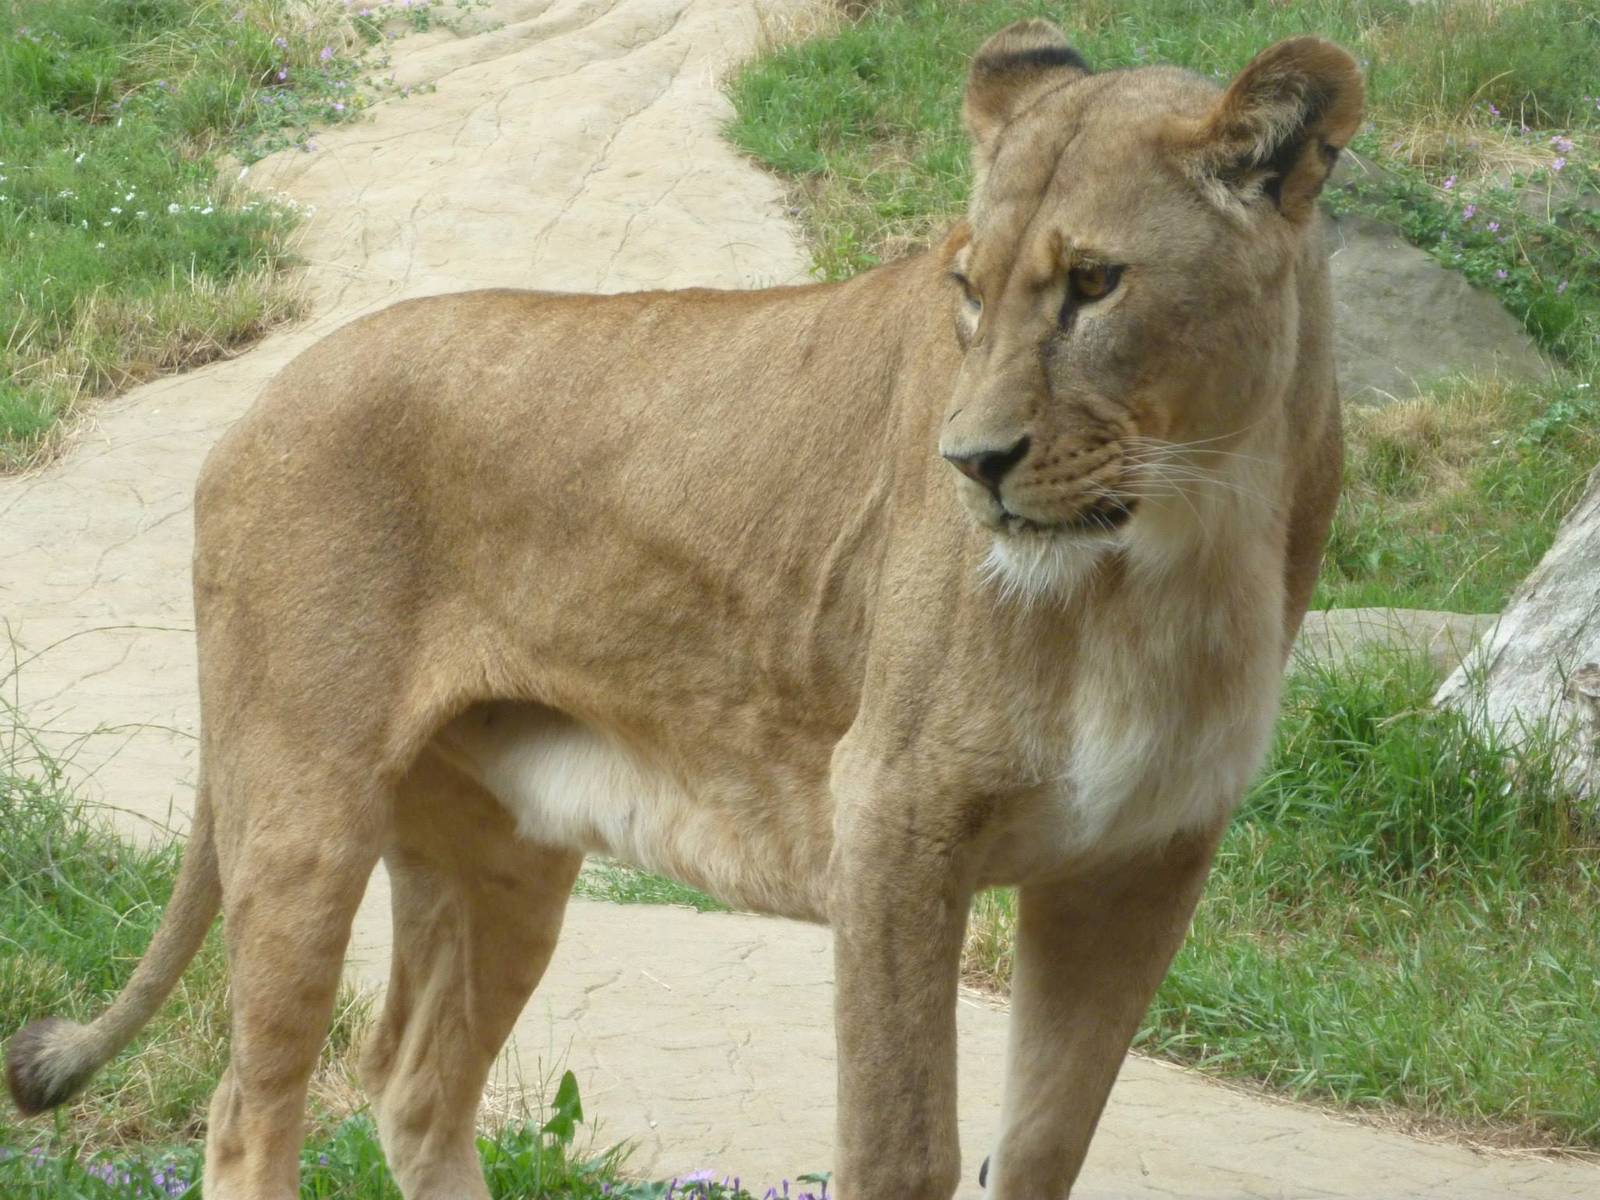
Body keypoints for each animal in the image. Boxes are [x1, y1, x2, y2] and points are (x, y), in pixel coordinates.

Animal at [6, 20, 1360, 1200]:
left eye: (1094, 283)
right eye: (967, 290)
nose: (969, 464)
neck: (1182, 545)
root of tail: (262, 399)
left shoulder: (1137, 861)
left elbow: (1041, 1153)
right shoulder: (893, 816)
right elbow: (900, 1148)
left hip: (498, 852)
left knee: (412, 1084)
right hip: (302, 810)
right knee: (252, 1108)